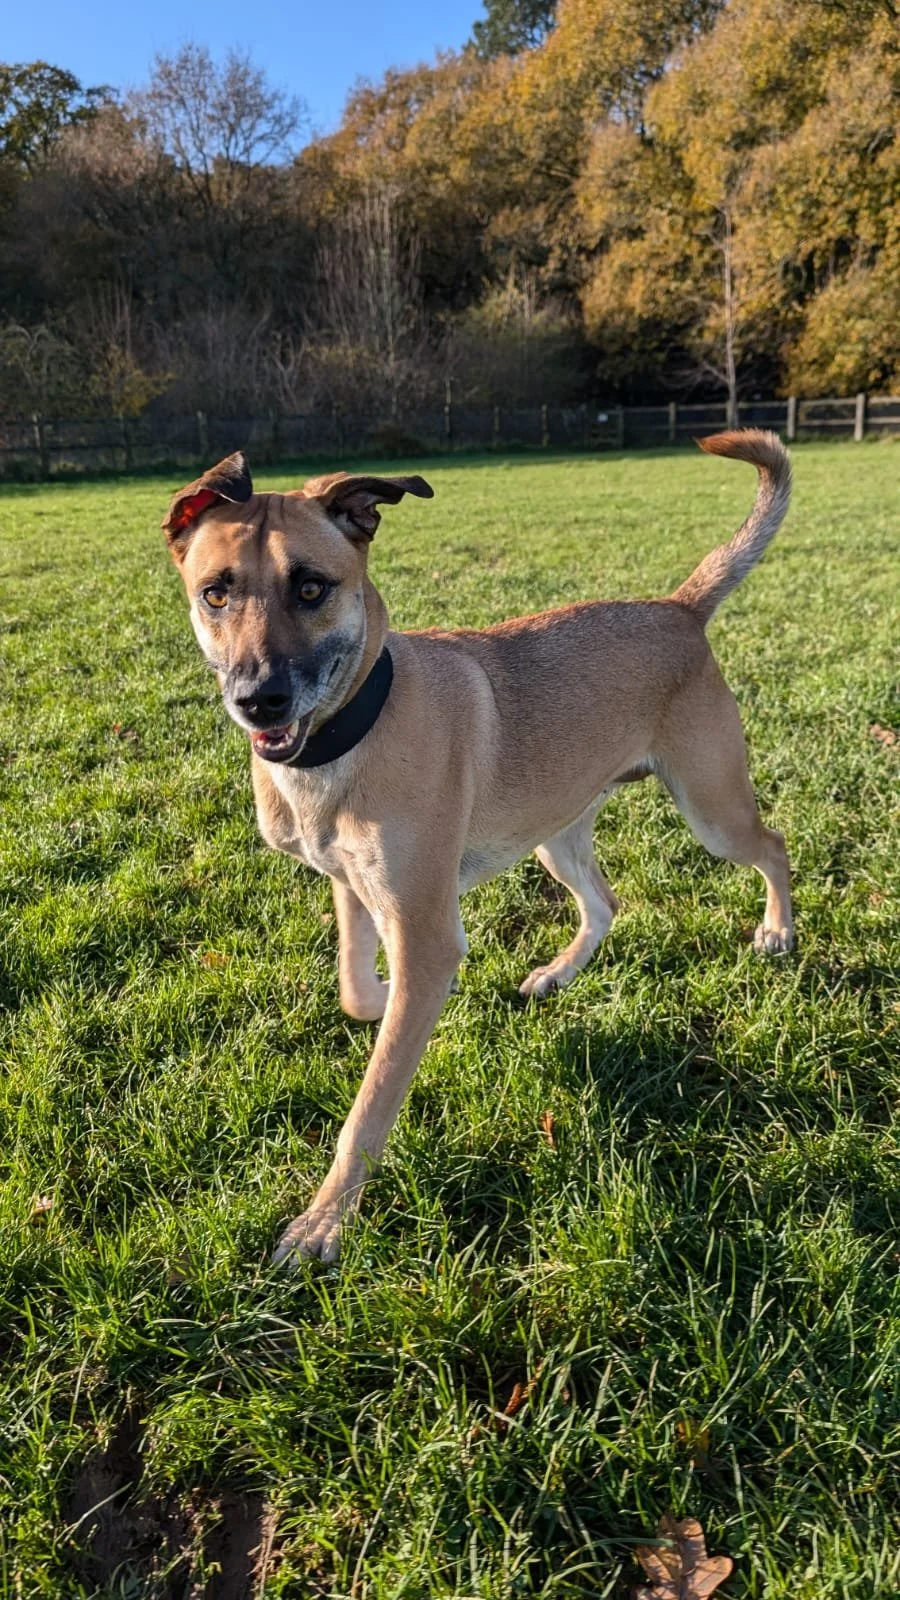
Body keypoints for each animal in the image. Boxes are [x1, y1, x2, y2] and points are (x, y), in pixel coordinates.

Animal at [162, 429, 793, 1263]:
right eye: (216, 593)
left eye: (312, 588)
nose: (258, 699)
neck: (353, 727)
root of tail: (679, 609)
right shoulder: (354, 888)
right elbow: (355, 986)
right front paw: (385, 1000)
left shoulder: (425, 926)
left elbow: (371, 1105)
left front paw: (324, 1222)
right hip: (557, 832)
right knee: (604, 902)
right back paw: (557, 974)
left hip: (711, 809)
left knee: (774, 847)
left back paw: (778, 931)